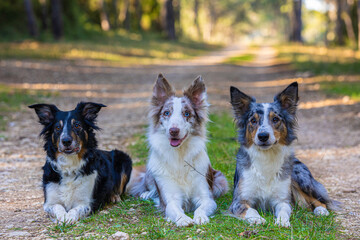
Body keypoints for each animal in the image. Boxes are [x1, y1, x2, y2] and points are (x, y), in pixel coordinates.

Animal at [126, 74, 228, 226]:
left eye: (186, 114)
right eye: (166, 113)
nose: (173, 131)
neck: (180, 155)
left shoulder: (206, 196)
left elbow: (202, 207)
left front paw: (200, 217)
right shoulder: (170, 197)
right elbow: (174, 208)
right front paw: (183, 218)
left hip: (220, 180)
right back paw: (147, 193)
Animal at [228, 82, 340, 227]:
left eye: (275, 119)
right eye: (253, 121)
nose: (263, 136)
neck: (266, 157)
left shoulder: (282, 200)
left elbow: (284, 210)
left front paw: (282, 222)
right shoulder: (239, 200)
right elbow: (251, 210)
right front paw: (257, 219)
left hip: (301, 178)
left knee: (320, 201)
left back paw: (321, 211)